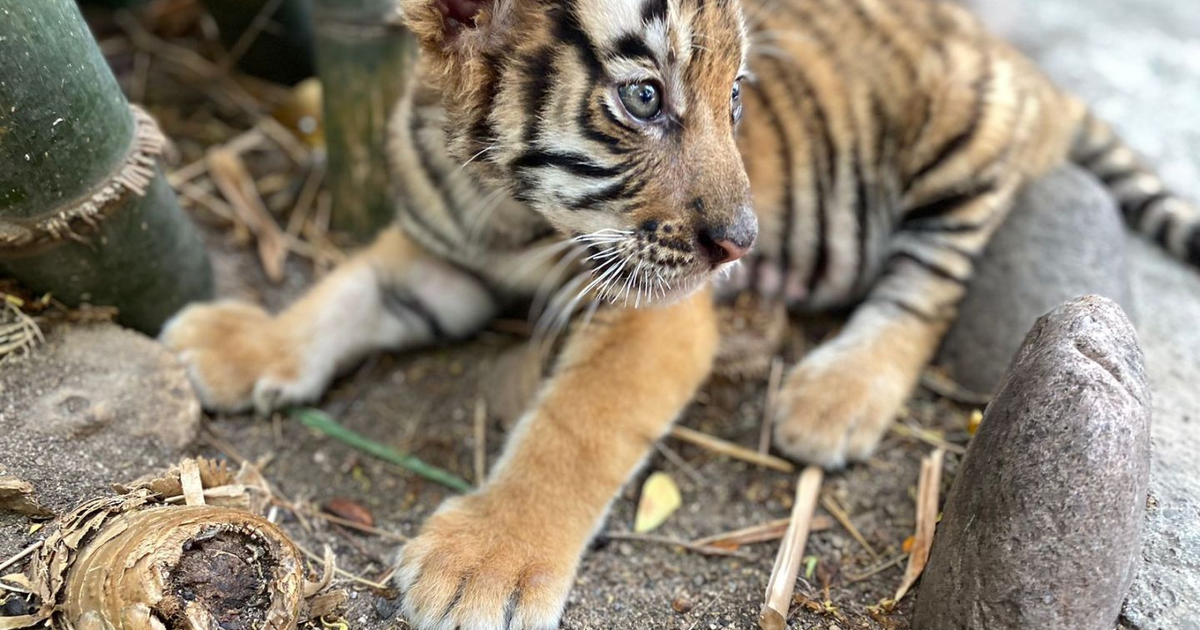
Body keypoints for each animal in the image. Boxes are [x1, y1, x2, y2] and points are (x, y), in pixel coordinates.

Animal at [160, 0, 1200, 627]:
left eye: (735, 95)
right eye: (644, 97)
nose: (744, 242)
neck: (502, 204)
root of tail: (1027, 67)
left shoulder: (656, 308)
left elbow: (576, 427)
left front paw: (485, 565)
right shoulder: (438, 254)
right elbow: (344, 291)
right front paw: (237, 343)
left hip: (960, 146)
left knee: (930, 285)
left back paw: (834, 396)